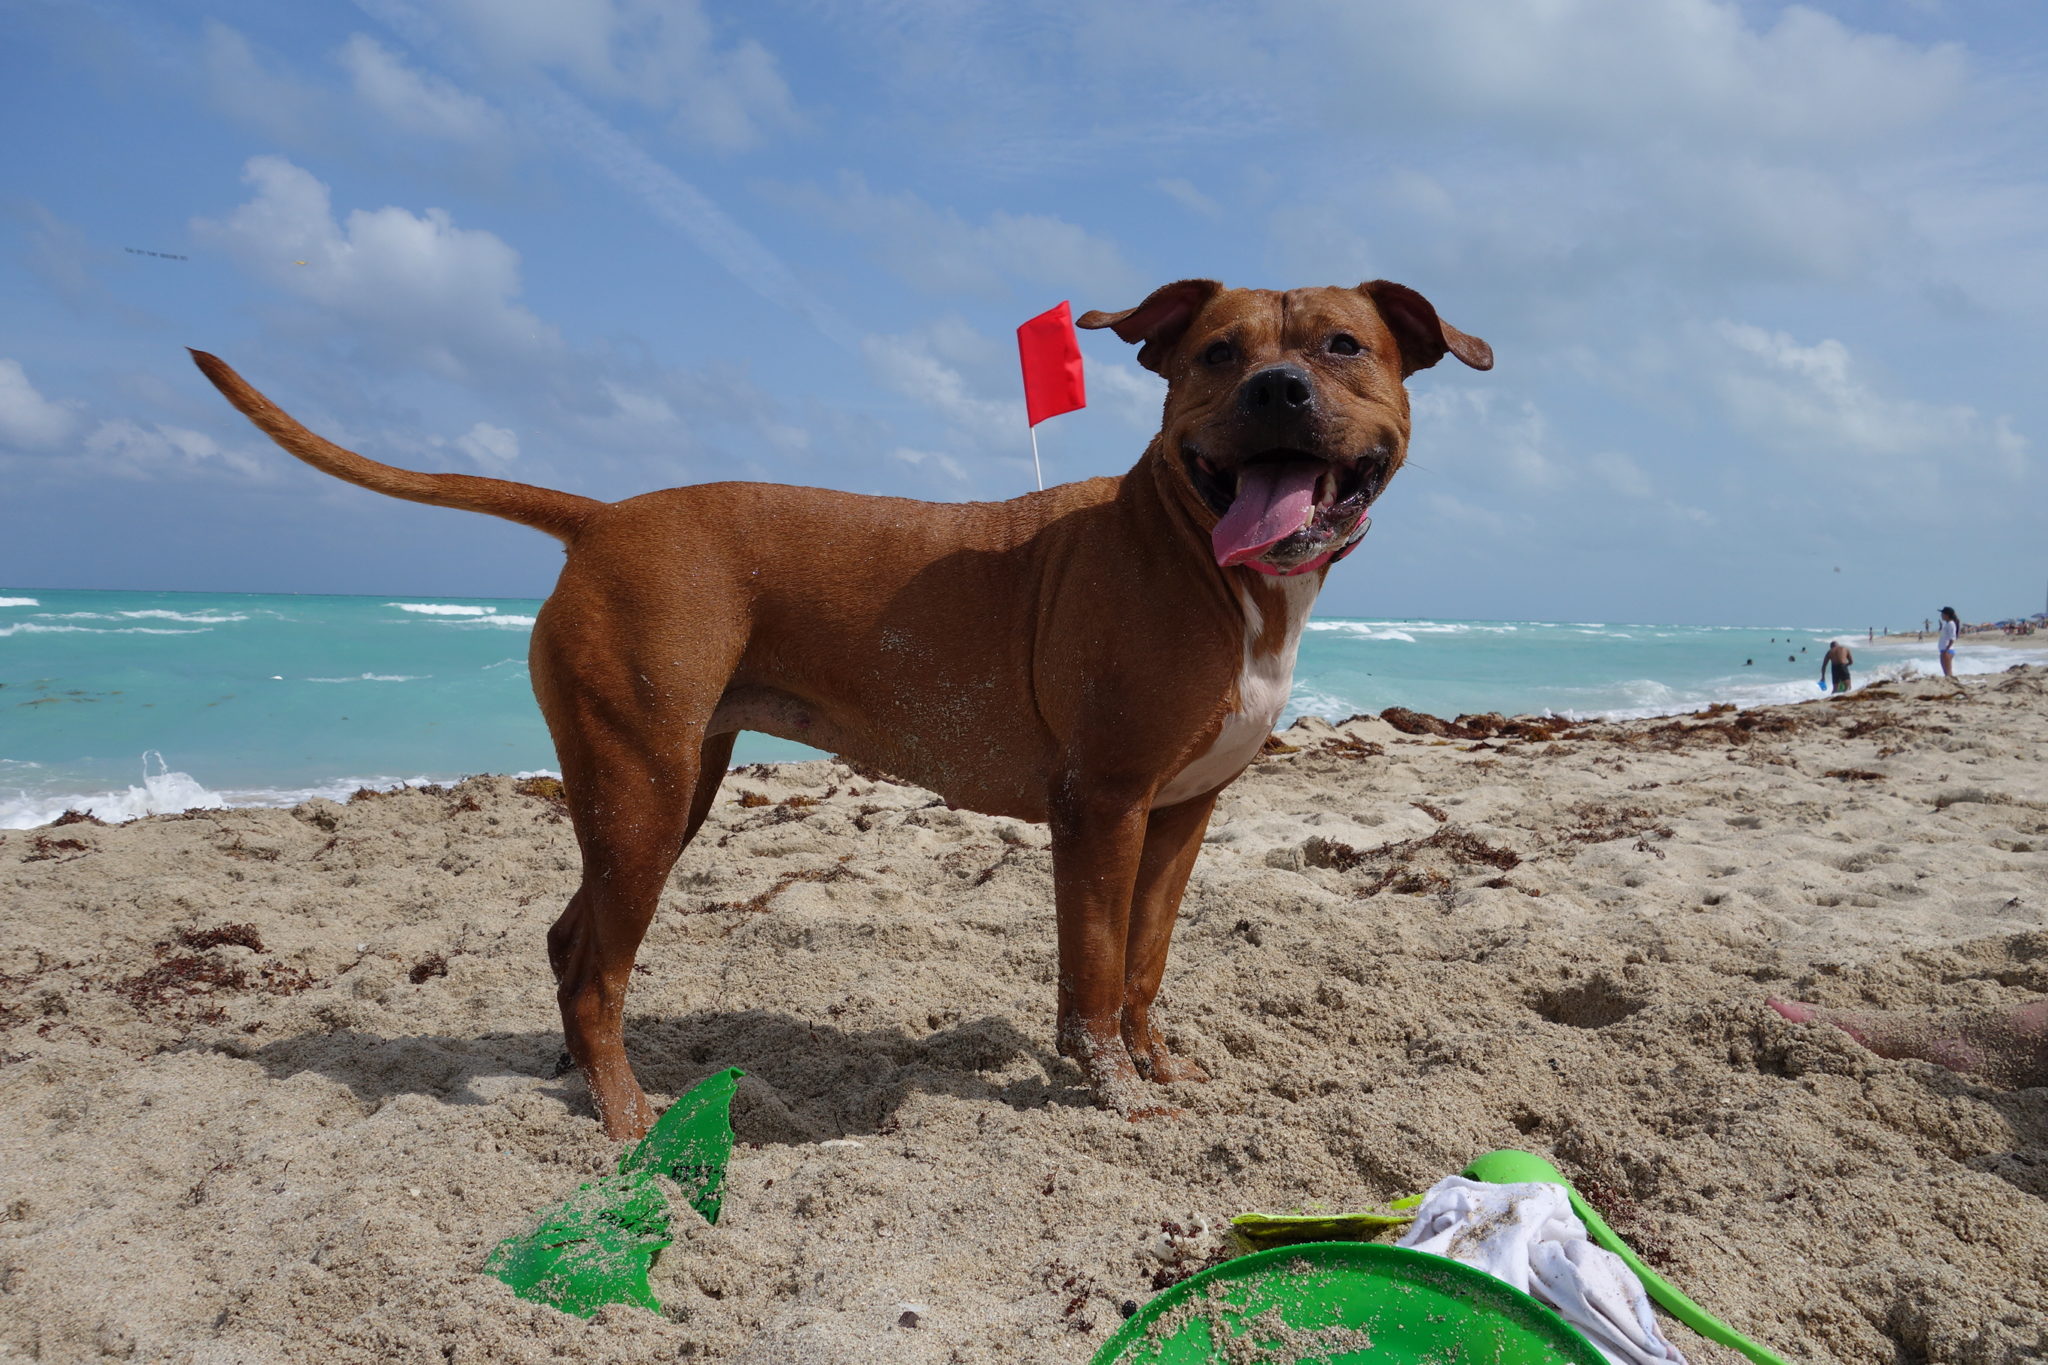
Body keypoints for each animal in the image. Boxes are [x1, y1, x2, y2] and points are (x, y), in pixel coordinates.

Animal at [195, 280, 1490, 1146]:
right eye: (1217, 354)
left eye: (1342, 345)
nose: (1276, 388)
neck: (1204, 556)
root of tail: (603, 518)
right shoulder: (1104, 809)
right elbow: (1089, 976)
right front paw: (1110, 1093)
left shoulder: (1179, 816)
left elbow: (1144, 966)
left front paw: (1158, 1071)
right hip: (643, 793)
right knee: (598, 967)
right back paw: (624, 1114)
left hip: (663, 789)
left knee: (571, 941)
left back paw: (571, 1081)